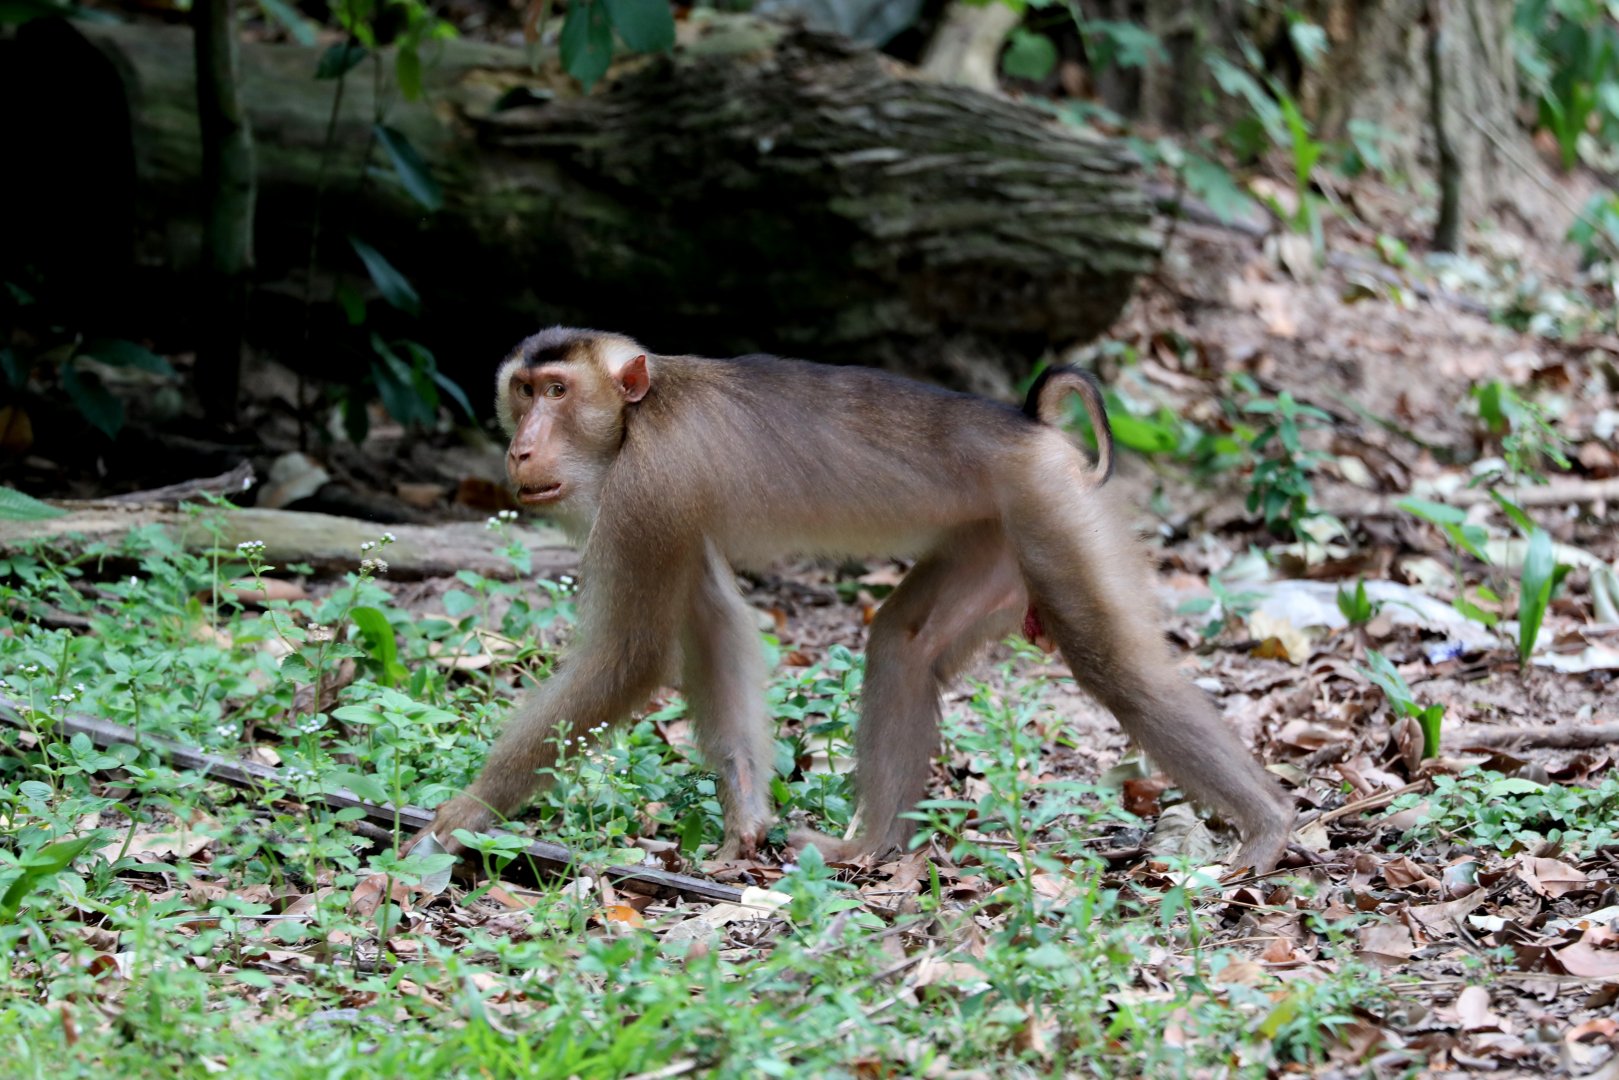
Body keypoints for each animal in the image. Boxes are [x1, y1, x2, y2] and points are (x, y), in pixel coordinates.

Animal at [420, 327, 1294, 873]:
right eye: (521, 392)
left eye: (558, 391)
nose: (519, 447)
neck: (640, 416)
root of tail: (1028, 425)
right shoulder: (671, 510)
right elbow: (714, 626)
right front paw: (746, 823)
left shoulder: (649, 487)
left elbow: (628, 658)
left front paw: (463, 813)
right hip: (993, 531)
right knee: (903, 642)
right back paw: (868, 848)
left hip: (1049, 502)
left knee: (1113, 664)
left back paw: (1268, 827)